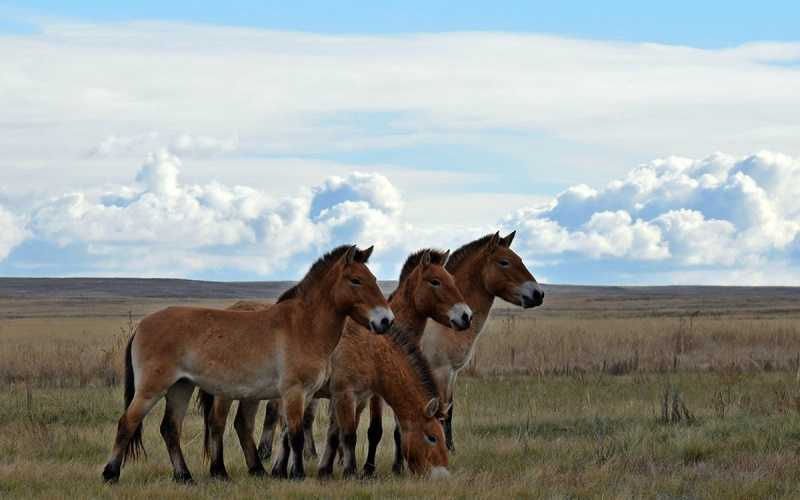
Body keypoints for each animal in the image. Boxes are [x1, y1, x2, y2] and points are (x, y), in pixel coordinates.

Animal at [101, 244, 396, 482]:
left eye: (374, 279)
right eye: (356, 280)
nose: (386, 320)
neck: (303, 325)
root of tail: (142, 325)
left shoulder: (306, 395)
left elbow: (289, 434)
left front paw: (282, 471)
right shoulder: (294, 392)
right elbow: (296, 435)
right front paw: (297, 475)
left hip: (180, 387)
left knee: (170, 429)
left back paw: (184, 476)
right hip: (152, 388)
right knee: (127, 423)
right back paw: (111, 474)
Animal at [203, 248, 472, 478]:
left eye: (452, 279)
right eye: (435, 281)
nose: (466, 316)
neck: (372, 347)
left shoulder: (351, 395)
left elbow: (333, 433)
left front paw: (322, 469)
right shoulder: (349, 394)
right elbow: (358, 432)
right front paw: (360, 470)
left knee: (245, 423)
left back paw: (259, 467)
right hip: (228, 392)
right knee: (221, 423)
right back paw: (225, 469)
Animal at [368, 230, 544, 472]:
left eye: (519, 259)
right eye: (504, 262)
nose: (538, 294)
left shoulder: (451, 374)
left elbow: (448, 412)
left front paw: (449, 449)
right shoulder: (436, 372)